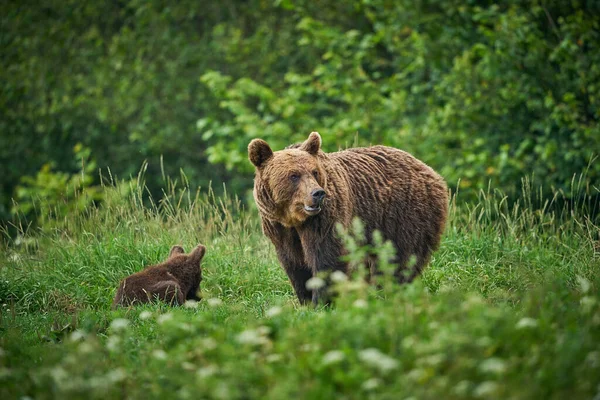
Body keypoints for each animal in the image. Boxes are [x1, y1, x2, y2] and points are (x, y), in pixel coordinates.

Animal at [246, 133, 448, 304]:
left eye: (314, 172)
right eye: (293, 175)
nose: (317, 193)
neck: (295, 219)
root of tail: (429, 170)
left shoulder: (325, 220)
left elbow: (326, 259)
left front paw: (321, 302)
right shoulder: (280, 229)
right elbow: (295, 264)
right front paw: (305, 300)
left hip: (405, 215)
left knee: (398, 258)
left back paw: (386, 291)